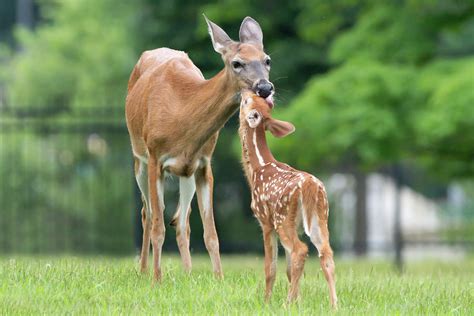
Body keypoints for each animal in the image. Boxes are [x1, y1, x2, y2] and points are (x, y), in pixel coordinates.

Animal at [126, 15, 274, 282]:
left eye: (267, 59)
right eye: (237, 63)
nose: (265, 88)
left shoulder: (203, 164)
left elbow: (211, 233)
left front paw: (219, 278)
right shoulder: (155, 158)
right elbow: (158, 226)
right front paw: (156, 279)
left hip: (186, 173)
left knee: (181, 221)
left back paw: (187, 272)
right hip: (139, 158)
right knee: (147, 213)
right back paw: (143, 270)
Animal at [239, 90, 336, 308]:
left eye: (247, 101)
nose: (245, 91)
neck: (258, 167)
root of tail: (310, 185)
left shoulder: (265, 221)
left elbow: (271, 269)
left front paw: (266, 302)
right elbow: (289, 270)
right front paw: (299, 302)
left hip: (283, 218)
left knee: (300, 250)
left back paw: (286, 303)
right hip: (320, 217)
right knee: (326, 253)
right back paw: (335, 305)